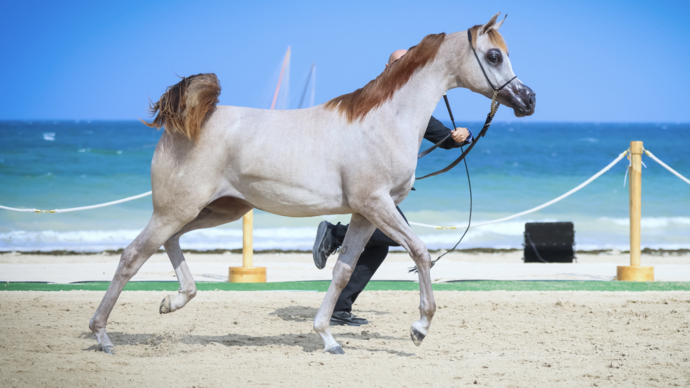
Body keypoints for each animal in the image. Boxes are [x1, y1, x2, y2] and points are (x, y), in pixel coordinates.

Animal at [88, 12, 536, 354]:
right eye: (494, 55)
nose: (528, 100)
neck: (384, 121)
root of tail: (183, 122)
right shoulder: (377, 205)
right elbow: (421, 253)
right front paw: (419, 328)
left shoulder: (365, 214)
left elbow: (343, 270)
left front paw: (328, 337)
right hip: (175, 208)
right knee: (132, 256)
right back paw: (103, 335)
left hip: (217, 210)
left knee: (170, 242)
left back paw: (172, 301)